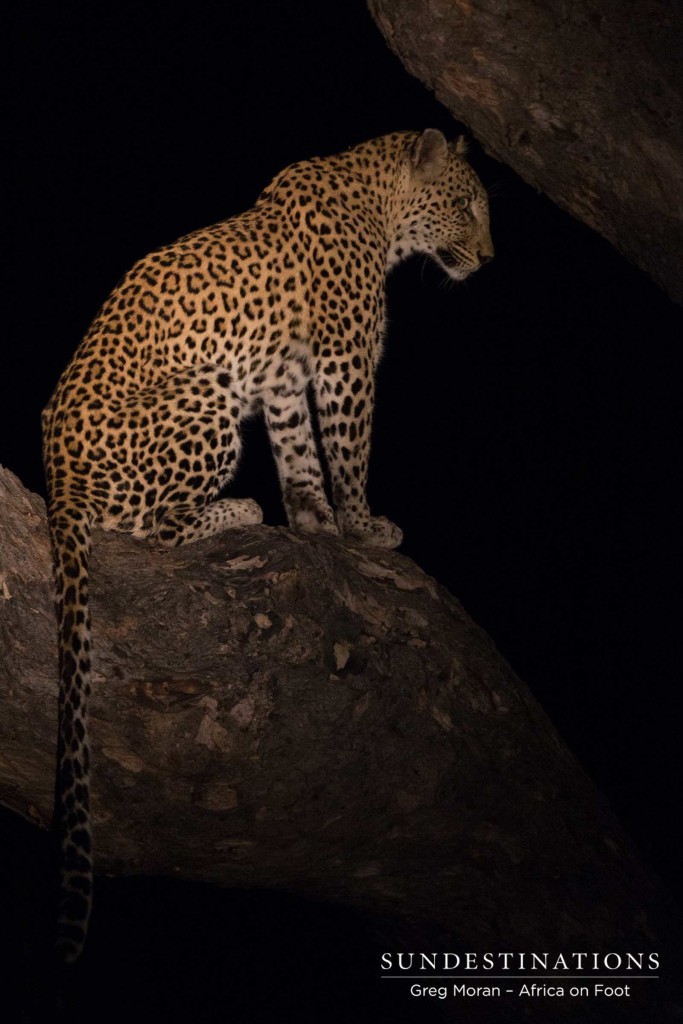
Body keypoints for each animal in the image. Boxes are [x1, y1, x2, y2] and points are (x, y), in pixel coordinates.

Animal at [41, 130, 491, 958]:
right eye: (462, 205)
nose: (485, 257)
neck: (376, 206)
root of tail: (57, 483)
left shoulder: (285, 374)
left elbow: (301, 452)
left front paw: (316, 520)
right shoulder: (344, 360)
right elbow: (347, 448)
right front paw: (363, 526)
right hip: (207, 397)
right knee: (149, 525)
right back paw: (238, 511)